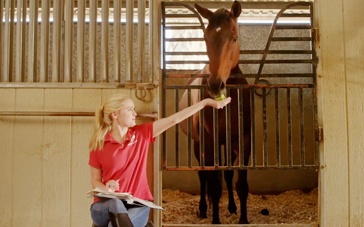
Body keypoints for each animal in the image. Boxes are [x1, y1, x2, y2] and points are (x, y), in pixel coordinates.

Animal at [178, 0, 252, 225]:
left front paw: (243, 219)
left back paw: (232, 207)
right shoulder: (209, 144)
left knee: (226, 174)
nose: (215, 85)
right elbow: (214, 186)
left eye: (234, 37)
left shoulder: (243, 142)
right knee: (204, 176)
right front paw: (215, 219)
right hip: (198, 144)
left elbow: (240, 183)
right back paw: (204, 209)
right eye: (205, 37)